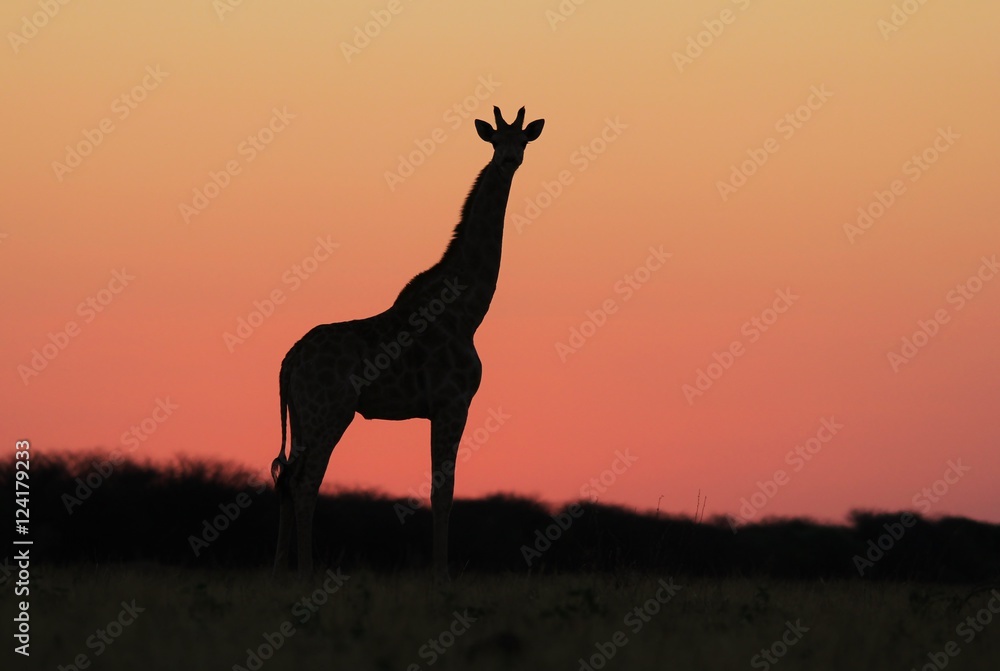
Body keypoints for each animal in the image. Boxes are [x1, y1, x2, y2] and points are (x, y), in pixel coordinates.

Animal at [271, 106, 544, 578]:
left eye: (522, 140)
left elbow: (440, 488)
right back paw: (305, 571)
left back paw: (278, 569)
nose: (509, 161)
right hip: (330, 412)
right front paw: (441, 575)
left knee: (287, 476)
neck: (468, 311)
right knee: (306, 481)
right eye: (496, 141)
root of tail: (290, 359)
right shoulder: (453, 403)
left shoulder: (441, 408)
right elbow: (443, 491)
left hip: (303, 415)